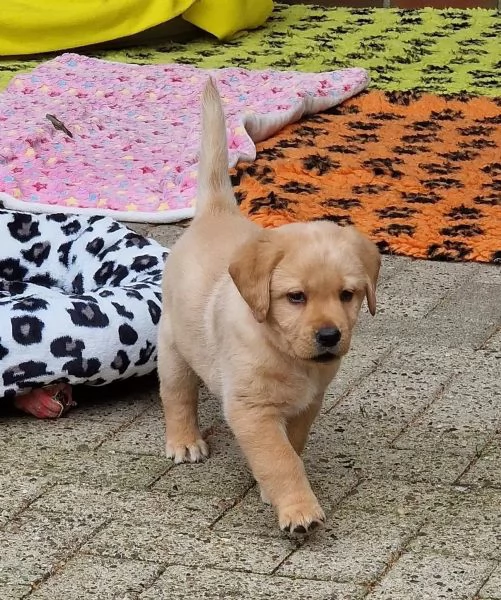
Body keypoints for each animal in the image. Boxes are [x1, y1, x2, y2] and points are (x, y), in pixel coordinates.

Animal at [157, 77, 378, 532]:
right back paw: (184, 440)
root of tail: (215, 211)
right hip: (172, 346)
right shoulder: (251, 409)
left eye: (347, 295)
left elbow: (292, 445)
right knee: (177, 395)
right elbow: (279, 459)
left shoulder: (309, 402)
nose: (329, 336)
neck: (286, 353)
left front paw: (270, 492)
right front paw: (298, 508)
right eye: (296, 297)